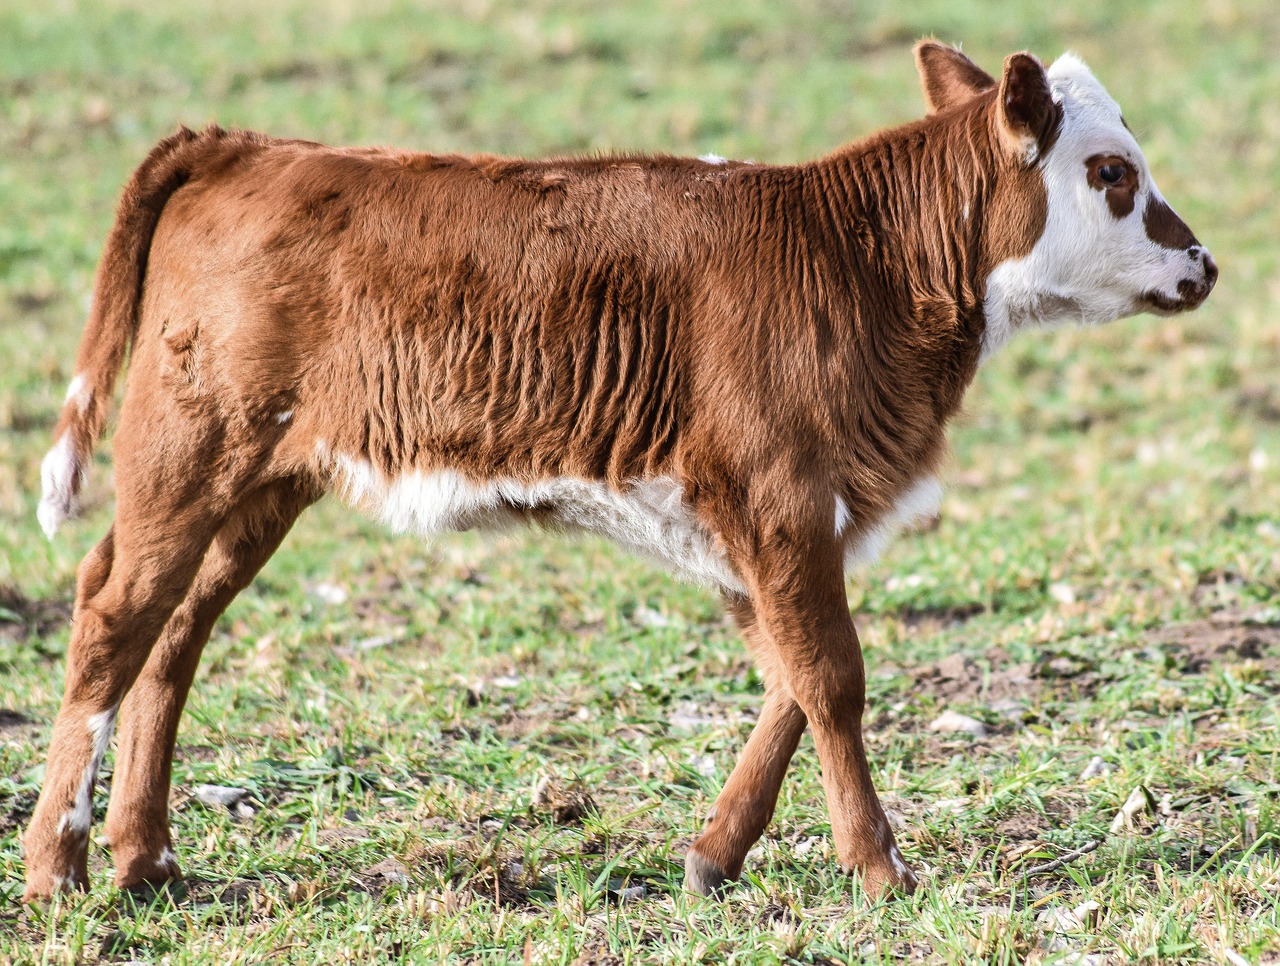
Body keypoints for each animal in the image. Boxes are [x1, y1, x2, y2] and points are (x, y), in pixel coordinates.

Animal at [24, 45, 1213, 900]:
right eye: (1112, 174)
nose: (1200, 265)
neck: (857, 259)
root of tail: (245, 146)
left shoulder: (753, 521)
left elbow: (788, 675)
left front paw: (714, 854)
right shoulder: (780, 495)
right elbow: (831, 676)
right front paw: (880, 870)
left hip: (258, 481)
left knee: (176, 631)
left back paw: (145, 859)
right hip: (188, 455)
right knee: (113, 618)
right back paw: (57, 865)